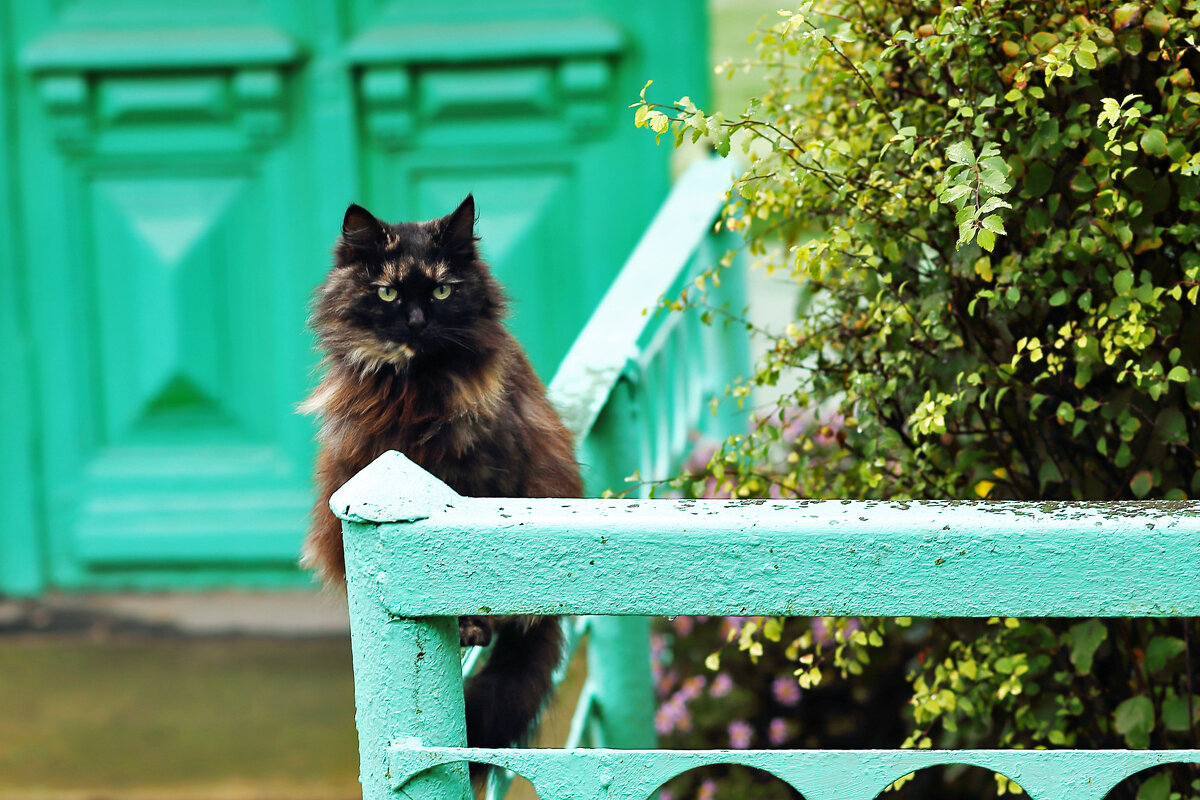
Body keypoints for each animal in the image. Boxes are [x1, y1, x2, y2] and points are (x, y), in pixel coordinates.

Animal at [298, 194, 580, 758]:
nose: (415, 323)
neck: (413, 390)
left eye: (442, 290)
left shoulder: (481, 477)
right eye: (386, 292)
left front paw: (473, 626)